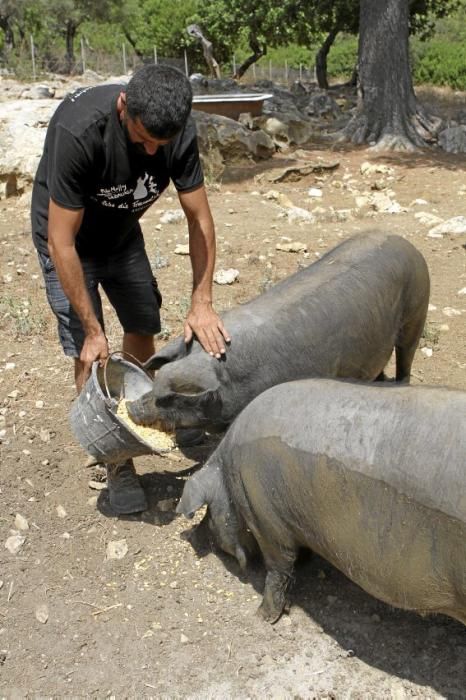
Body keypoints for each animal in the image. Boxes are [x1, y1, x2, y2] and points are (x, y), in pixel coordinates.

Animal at [126, 234, 430, 432]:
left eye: (169, 397)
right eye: (155, 384)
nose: (131, 407)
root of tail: (404, 242)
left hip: (417, 311)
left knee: (406, 357)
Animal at [176, 380, 466, 628]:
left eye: (208, 512)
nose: (191, 536)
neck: (229, 472)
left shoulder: (264, 517)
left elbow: (278, 567)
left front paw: (262, 617)